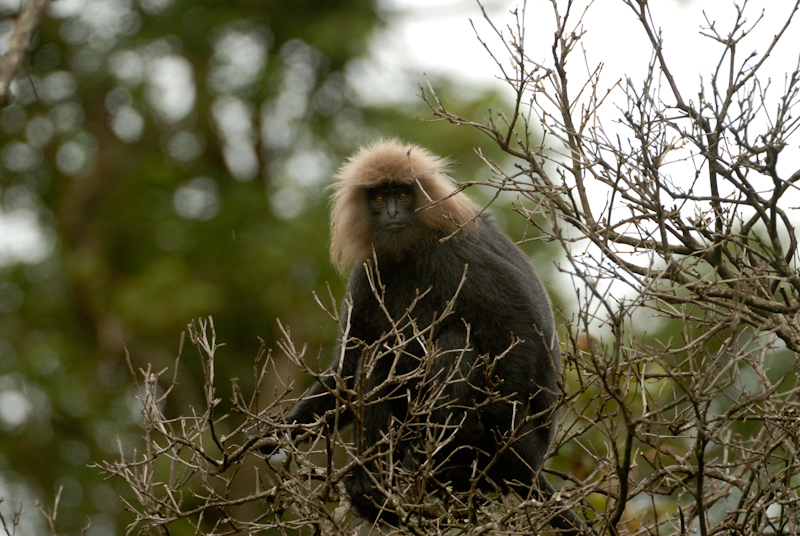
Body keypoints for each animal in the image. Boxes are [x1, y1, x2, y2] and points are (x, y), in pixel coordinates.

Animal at [278, 140, 592, 532]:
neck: (410, 253)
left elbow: (522, 329)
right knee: (380, 361)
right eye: (378, 199)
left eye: (402, 194)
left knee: (455, 338)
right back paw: (375, 484)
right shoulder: (369, 272)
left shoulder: (459, 249)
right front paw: (278, 433)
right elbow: (348, 371)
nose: (392, 212)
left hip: (522, 445)